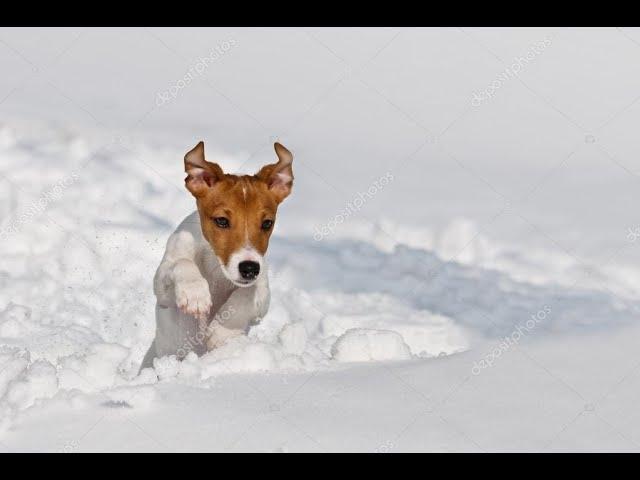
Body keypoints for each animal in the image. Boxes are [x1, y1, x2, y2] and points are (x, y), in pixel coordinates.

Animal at [140, 141, 296, 370]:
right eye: (221, 221)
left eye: (267, 223)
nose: (249, 268)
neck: (216, 266)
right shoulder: (163, 289)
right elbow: (182, 264)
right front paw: (195, 294)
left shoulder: (263, 294)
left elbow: (248, 292)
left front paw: (222, 333)